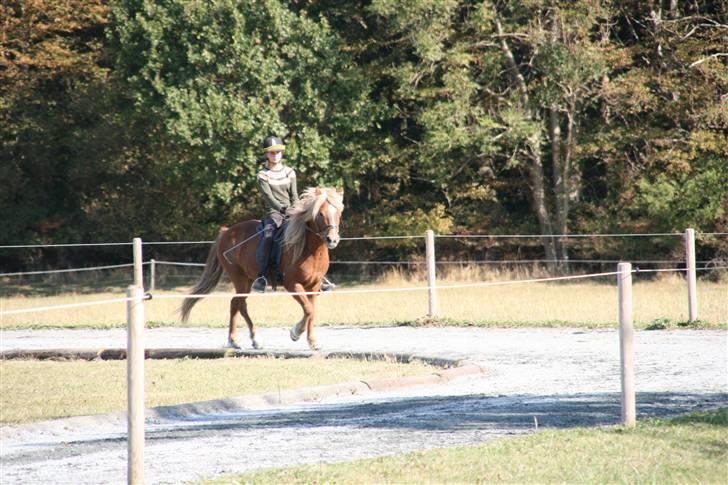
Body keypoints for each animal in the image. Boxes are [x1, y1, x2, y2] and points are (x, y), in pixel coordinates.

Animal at [179, 187, 344, 350]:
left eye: (338, 213)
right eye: (320, 213)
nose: (332, 239)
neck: (308, 249)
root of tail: (225, 232)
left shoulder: (313, 286)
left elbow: (311, 311)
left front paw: (312, 341)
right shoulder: (292, 285)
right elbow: (308, 310)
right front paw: (295, 333)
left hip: (247, 279)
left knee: (236, 303)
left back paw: (240, 340)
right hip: (239, 278)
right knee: (240, 304)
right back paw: (246, 339)